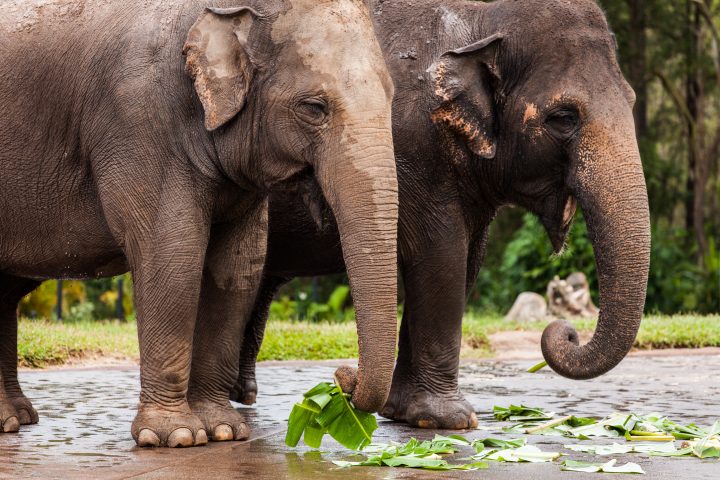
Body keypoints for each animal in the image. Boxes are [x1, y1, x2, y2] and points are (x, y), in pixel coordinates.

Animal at [0, 0, 399, 447]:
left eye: (392, 98)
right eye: (314, 107)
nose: (342, 377)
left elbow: (237, 268)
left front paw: (224, 431)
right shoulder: (139, 120)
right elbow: (172, 253)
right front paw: (175, 437)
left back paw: (17, 418)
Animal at [230, 0, 651, 430]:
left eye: (633, 101)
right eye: (564, 117)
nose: (565, 332)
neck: (480, 21)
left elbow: (466, 261)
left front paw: (411, 416)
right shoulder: (411, 154)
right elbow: (441, 254)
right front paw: (452, 419)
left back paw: (241, 394)